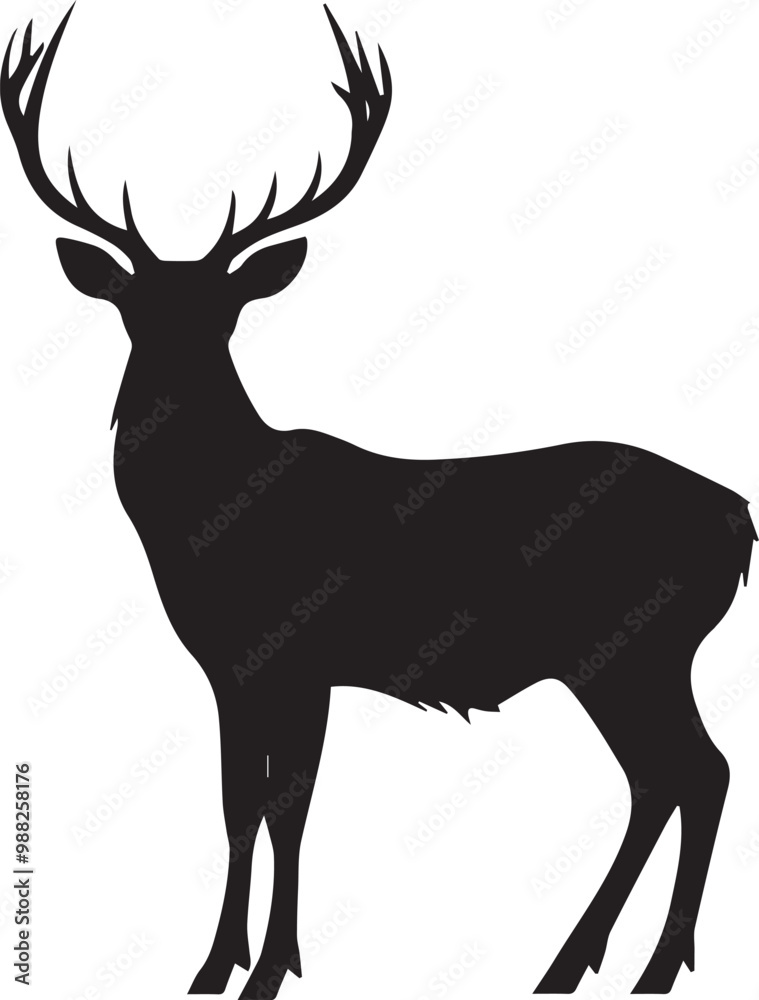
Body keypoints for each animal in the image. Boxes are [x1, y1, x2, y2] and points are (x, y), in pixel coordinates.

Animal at [3, 3, 755, 997]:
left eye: (224, 311)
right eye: (135, 305)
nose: (167, 380)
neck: (208, 522)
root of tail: (740, 519)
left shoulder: (302, 657)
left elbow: (288, 806)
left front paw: (270, 967)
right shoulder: (231, 670)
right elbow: (237, 803)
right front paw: (215, 965)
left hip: (637, 646)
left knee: (692, 772)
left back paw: (634, 968)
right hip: (632, 656)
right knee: (670, 777)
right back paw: (585, 965)